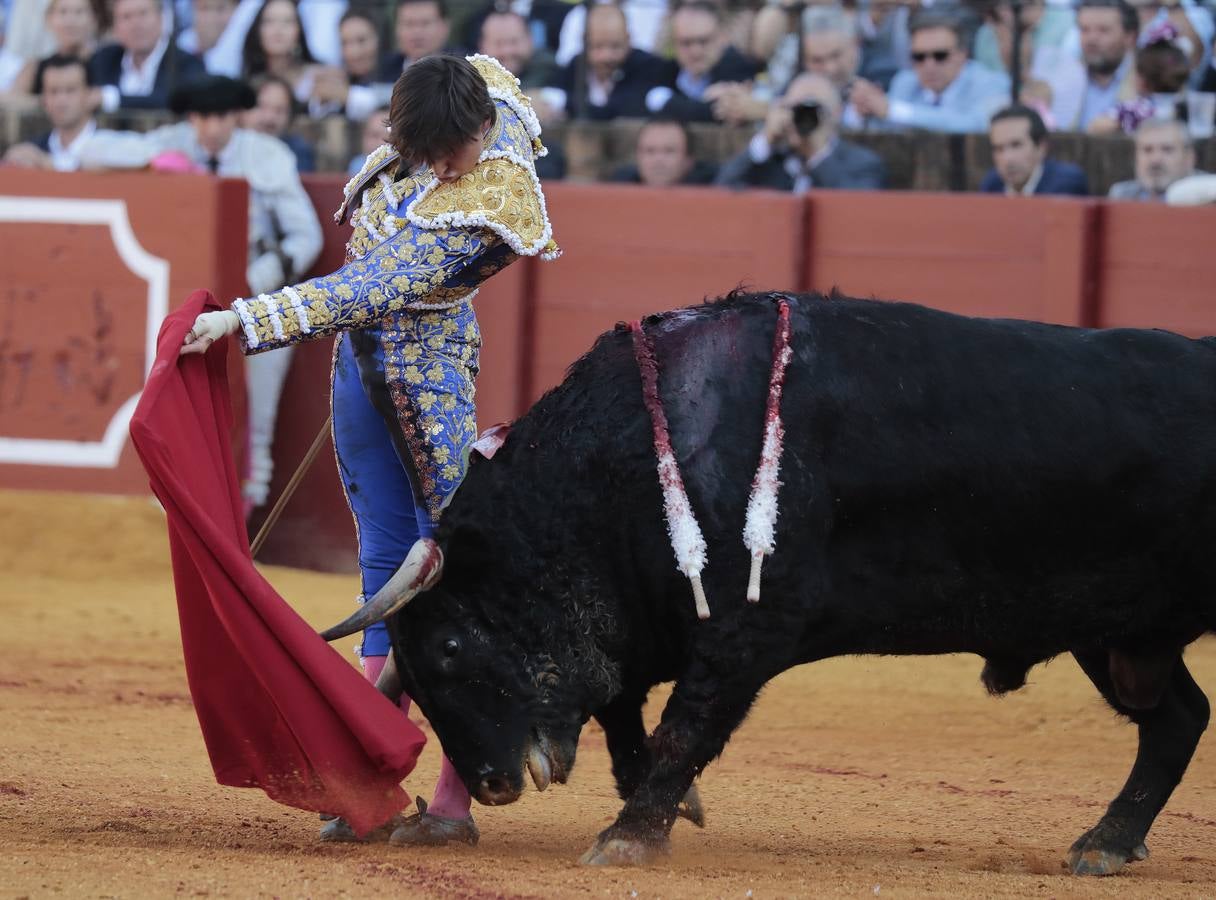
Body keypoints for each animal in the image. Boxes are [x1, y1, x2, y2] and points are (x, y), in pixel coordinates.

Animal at [318, 293, 1211, 870]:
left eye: (452, 646)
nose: (493, 785)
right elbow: (622, 712)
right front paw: (662, 807)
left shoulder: (746, 631)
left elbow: (684, 725)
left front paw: (630, 835)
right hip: (1115, 636)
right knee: (1177, 720)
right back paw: (1105, 844)